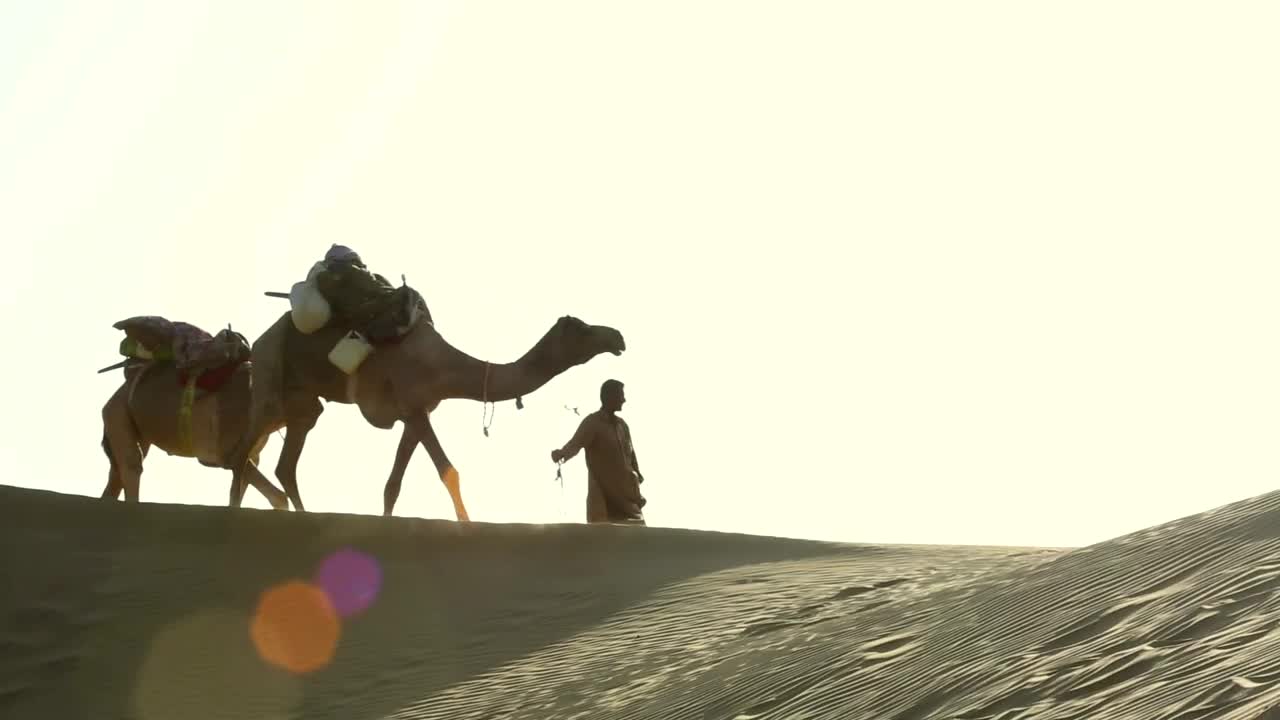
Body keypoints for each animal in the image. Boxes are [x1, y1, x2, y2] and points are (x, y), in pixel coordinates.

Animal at [99, 327, 291, 510]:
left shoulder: (250, 456)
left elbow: (265, 496)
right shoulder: (228, 453)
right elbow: (274, 497)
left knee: (114, 481)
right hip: (118, 415)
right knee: (132, 466)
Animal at [226, 309, 626, 520]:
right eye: (581, 329)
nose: (618, 337)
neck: (443, 366)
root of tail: (260, 338)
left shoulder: (415, 414)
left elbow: (393, 485)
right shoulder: (414, 408)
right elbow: (448, 472)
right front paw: (468, 524)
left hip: (303, 403)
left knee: (284, 463)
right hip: (269, 376)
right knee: (242, 453)